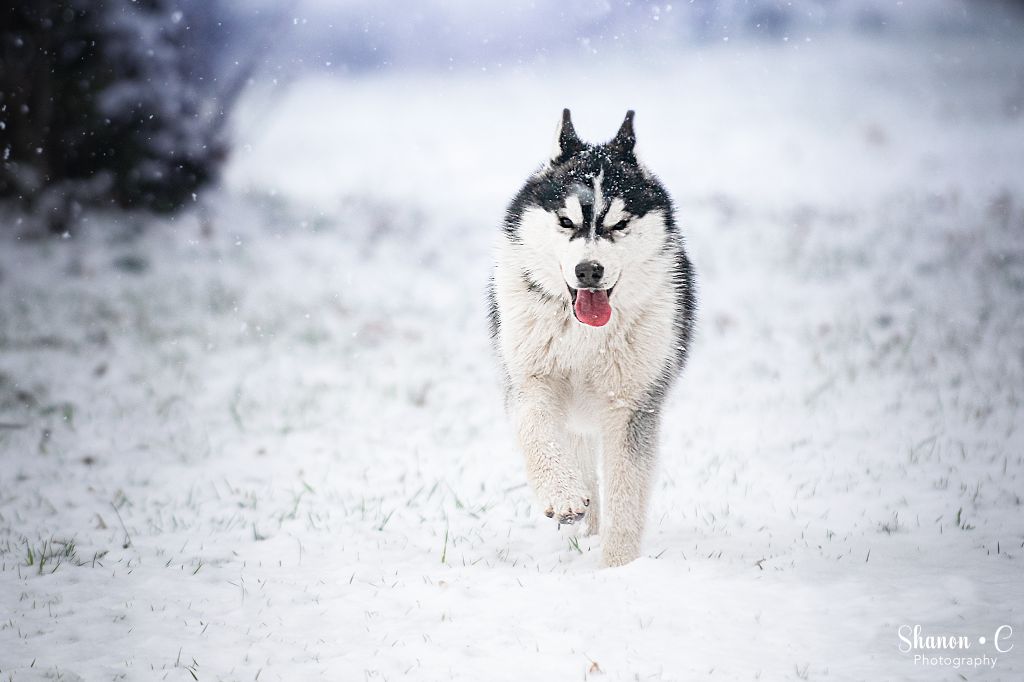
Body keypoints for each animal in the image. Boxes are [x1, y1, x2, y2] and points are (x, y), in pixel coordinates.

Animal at [487, 109, 696, 565]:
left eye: (619, 224)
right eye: (566, 221)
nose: (589, 270)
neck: (584, 333)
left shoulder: (632, 403)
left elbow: (626, 491)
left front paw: (618, 566)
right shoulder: (529, 380)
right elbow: (536, 431)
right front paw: (563, 495)